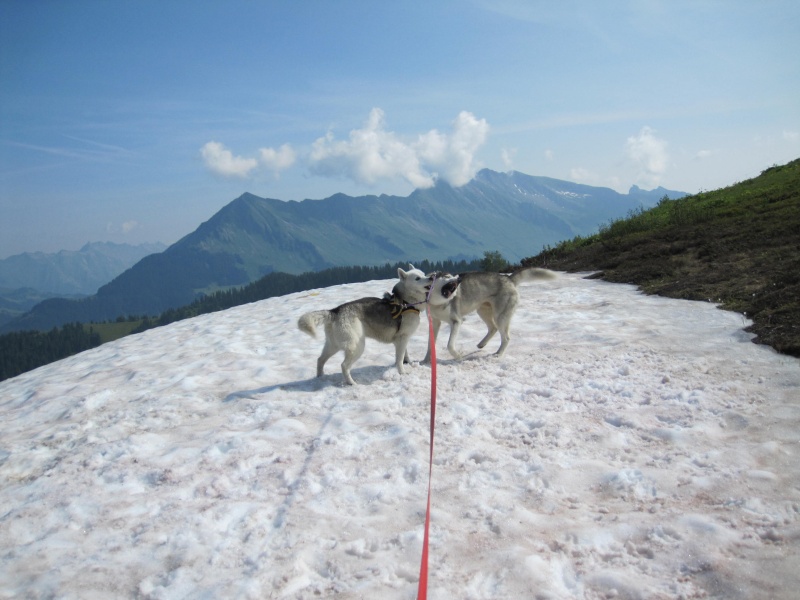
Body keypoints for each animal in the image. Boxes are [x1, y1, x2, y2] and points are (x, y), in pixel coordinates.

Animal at [298, 264, 462, 386]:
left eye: (423, 273)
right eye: (417, 278)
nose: (431, 277)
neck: (406, 302)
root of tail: (335, 311)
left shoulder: (402, 339)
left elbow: (405, 355)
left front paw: (408, 363)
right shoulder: (402, 338)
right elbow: (399, 359)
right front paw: (402, 372)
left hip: (333, 345)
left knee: (320, 359)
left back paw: (320, 377)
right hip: (356, 346)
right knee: (344, 366)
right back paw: (352, 383)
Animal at [424, 268, 556, 360]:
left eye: (453, 276)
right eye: (447, 276)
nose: (459, 279)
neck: (438, 302)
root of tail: (508, 278)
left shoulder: (456, 321)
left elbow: (450, 345)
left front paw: (458, 356)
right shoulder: (434, 323)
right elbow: (430, 345)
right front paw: (426, 361)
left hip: (500, 317)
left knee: (506, 337)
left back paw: (498, 354)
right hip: (482, 311)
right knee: (493, 328)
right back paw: (482, 344)